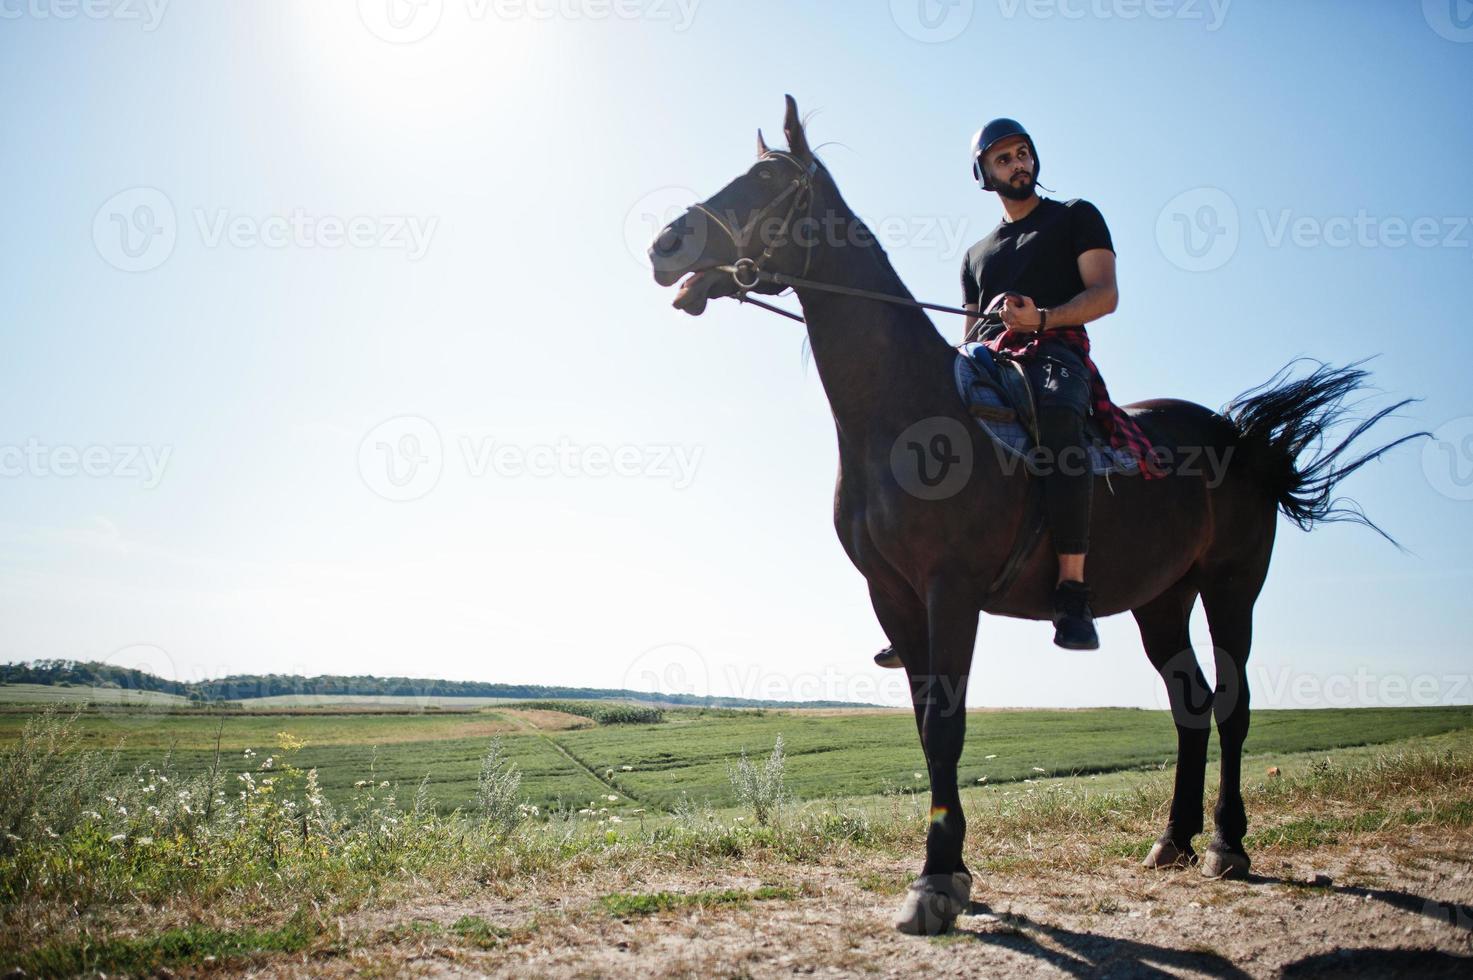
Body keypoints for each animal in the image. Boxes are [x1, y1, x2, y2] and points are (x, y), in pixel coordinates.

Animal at [648, 97, 1425, 931]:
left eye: (766, 184)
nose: (665, 244)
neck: (908, 414)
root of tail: (1242, 440)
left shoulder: (950, 591)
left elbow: (946, 725)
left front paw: (936, 881)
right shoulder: (892, 596)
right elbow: (925, 725)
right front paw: (950, 870)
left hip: (1230, 587)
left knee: (1230, 707)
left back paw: (1226, 844)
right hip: (1162, 600)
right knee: (1188, 704)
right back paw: (1173, 839)